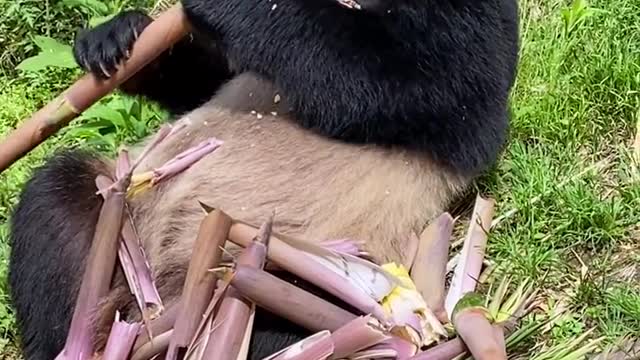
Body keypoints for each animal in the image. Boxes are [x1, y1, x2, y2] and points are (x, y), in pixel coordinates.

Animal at [8, 0, 520, 358]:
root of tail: (159, 308)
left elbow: (414, 84)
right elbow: (205, 80)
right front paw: (117, 35)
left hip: (327, 277)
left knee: (284, 331)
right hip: (124, 219)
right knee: (57, 213)